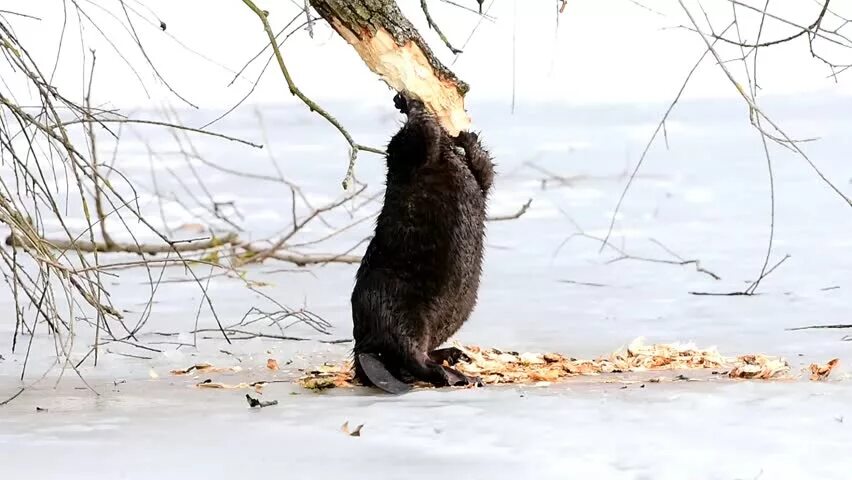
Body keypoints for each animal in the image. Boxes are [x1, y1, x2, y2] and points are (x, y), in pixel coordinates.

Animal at [352, 90, 496, 394]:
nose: (399, 97)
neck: (445, 155)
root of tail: (365, 350)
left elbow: (484, 173)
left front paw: (467, 137)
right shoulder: (403, 159)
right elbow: (417, 138)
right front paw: (412, 103)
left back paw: (456, 356)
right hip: (401, 310)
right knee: (413, 355)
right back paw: (458, 375)